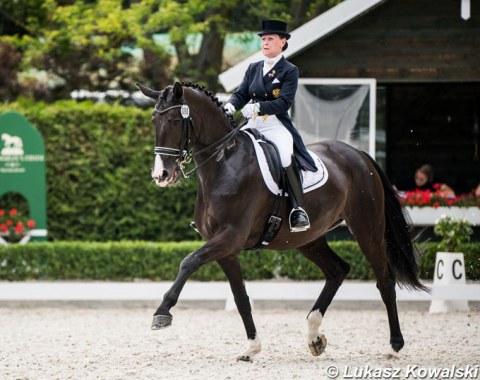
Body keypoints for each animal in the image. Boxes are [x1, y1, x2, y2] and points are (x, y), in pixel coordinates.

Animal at [137, 81, 426, 360]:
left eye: (175, 121)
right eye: (153, 120)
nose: (161, 175)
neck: (224, 163)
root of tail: (359, 154)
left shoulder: (230, 237)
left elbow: (189, 261)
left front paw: (162, 313)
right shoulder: (226, 248)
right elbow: (240, 298)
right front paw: (252, 347)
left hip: (368, 228)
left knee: (384, 280)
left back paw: (394, 346)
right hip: (309, 239)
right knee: (338, 270)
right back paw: (314, 336)